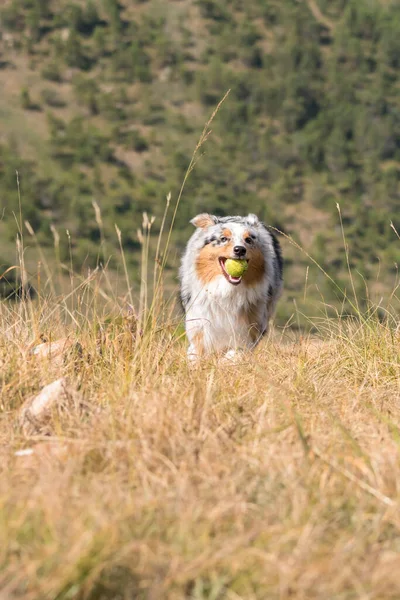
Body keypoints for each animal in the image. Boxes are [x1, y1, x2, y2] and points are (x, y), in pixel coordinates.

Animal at [180, 212, 282, 360]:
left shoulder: (248, 327)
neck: (226, 290)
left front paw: (228, 360)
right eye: (223, 238)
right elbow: (197, 351)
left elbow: (237, 350)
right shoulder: (200, 321)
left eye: (248, 240)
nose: (240, 250)